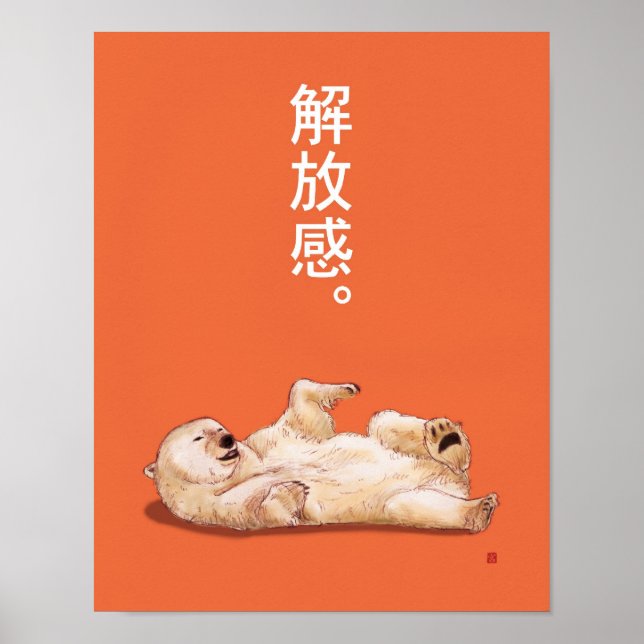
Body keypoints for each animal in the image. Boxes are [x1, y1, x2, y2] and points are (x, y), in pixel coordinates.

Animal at [143, 379, 499, 532]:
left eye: (219, 427)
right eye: (199, 436)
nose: (227, 439)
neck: (243, 469)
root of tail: (453, 482)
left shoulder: (269, 443)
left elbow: (303, 414)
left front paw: (346, 389)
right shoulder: (217, 507)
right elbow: (261, 512)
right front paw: (292, 490)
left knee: (383, 421)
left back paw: (446, 438)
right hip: (404, 499)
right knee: (412, 504)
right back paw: (478, 510)